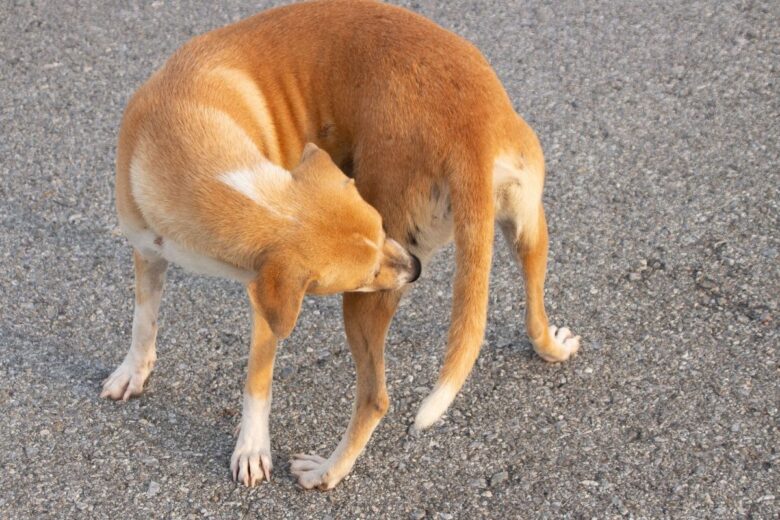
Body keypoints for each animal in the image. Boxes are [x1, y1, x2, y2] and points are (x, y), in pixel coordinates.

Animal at [102, 0, 580, 490]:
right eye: (377, 236)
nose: (415, 268)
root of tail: (470, 131)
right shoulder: (148, 251)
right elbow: (143, 320)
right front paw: (133, 371)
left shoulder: (268, 305)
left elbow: (257, 381)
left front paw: (251, 448)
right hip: (527, 225)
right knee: (533, 305)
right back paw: (553, 346)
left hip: (364, 302)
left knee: (375, 399)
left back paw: (325, 473)